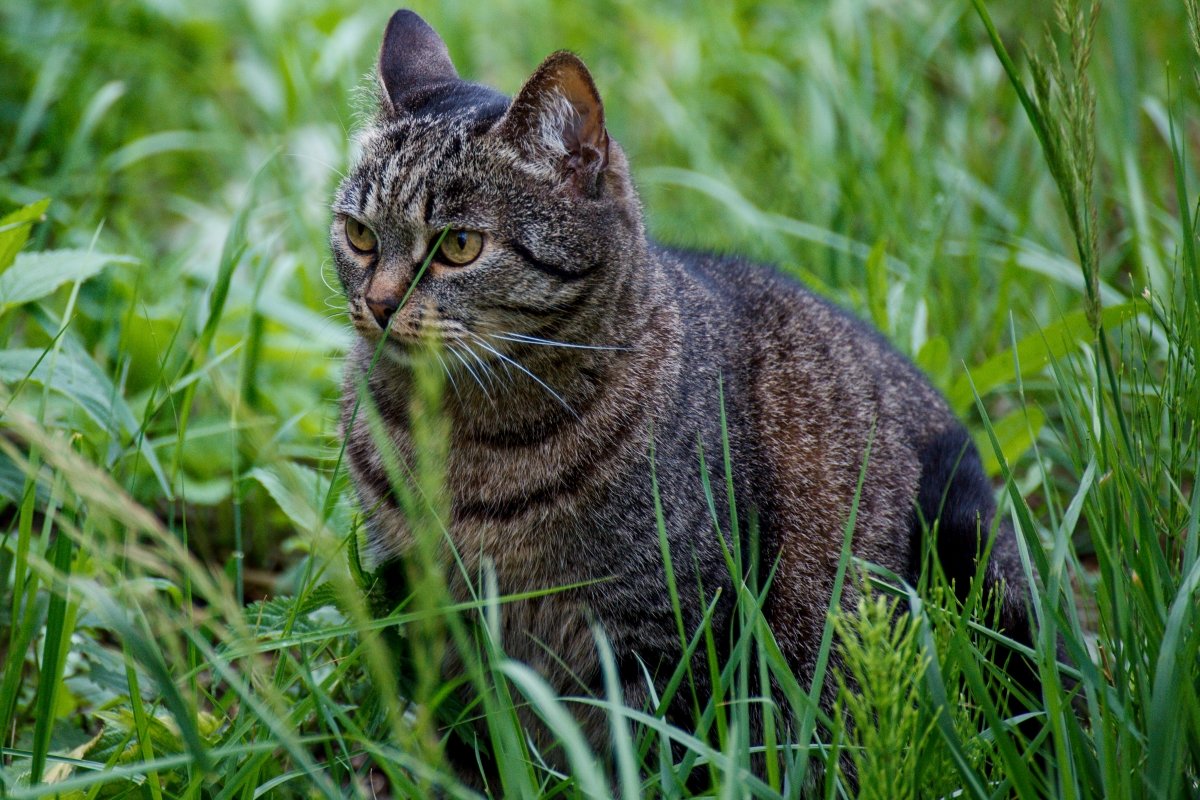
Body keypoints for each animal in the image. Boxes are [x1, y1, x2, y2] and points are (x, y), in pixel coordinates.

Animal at [328, 6, 1032, 791]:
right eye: (359, 235)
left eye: (457, 247)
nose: (379, 304)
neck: (463, 440)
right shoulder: (418, 598)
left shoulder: (666, 631)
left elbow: (654, 758)